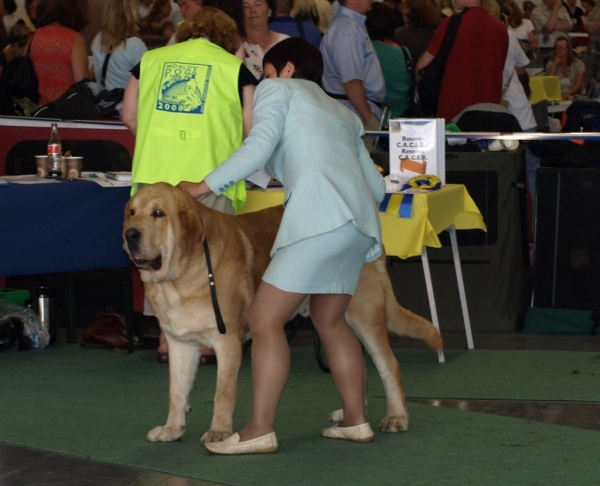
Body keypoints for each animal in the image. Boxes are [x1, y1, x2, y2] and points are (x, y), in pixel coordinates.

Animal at [123, 184, 440, 446]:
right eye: (132, 212)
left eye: (159, 213)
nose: (130, 234)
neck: (179, 277)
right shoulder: (181, 343)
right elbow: (177, 392)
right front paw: (172, 429)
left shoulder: (227, 342)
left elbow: (222, 393)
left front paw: (219, 432)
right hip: (331, 318)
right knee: (355, 362)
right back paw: (350, 414)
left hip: (364, 314)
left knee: (389, 366)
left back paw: (397, 417)